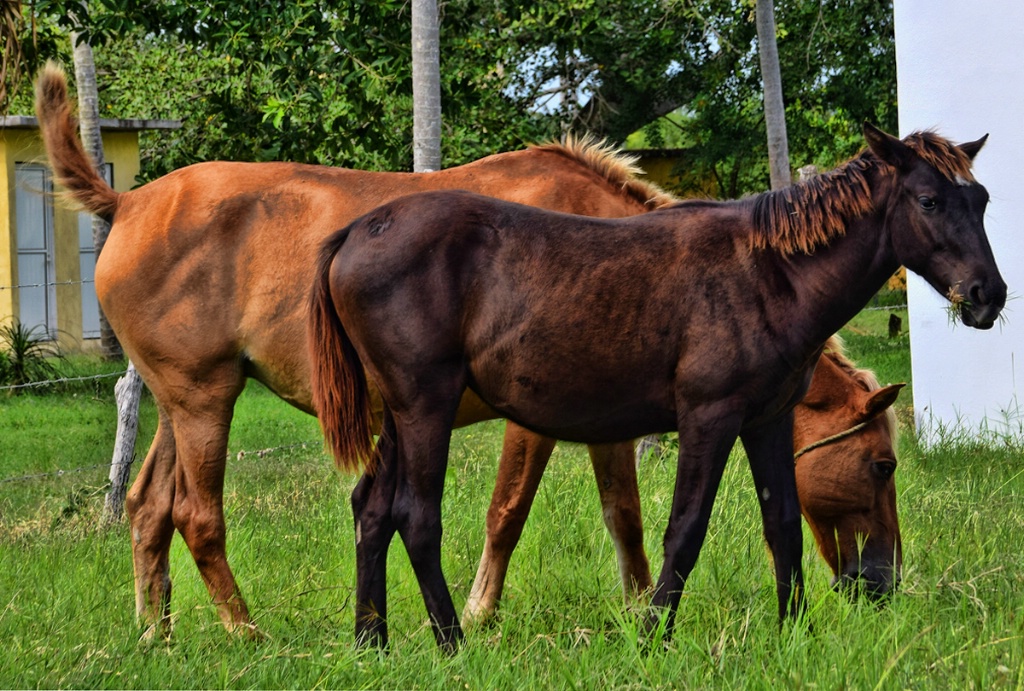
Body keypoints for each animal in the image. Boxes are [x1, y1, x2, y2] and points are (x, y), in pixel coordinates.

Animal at [464, 335, 905, 626]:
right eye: (885, 466)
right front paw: (478, 616)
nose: (889, 580)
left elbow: (626, 518)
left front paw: (641, 612)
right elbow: (508, 512)